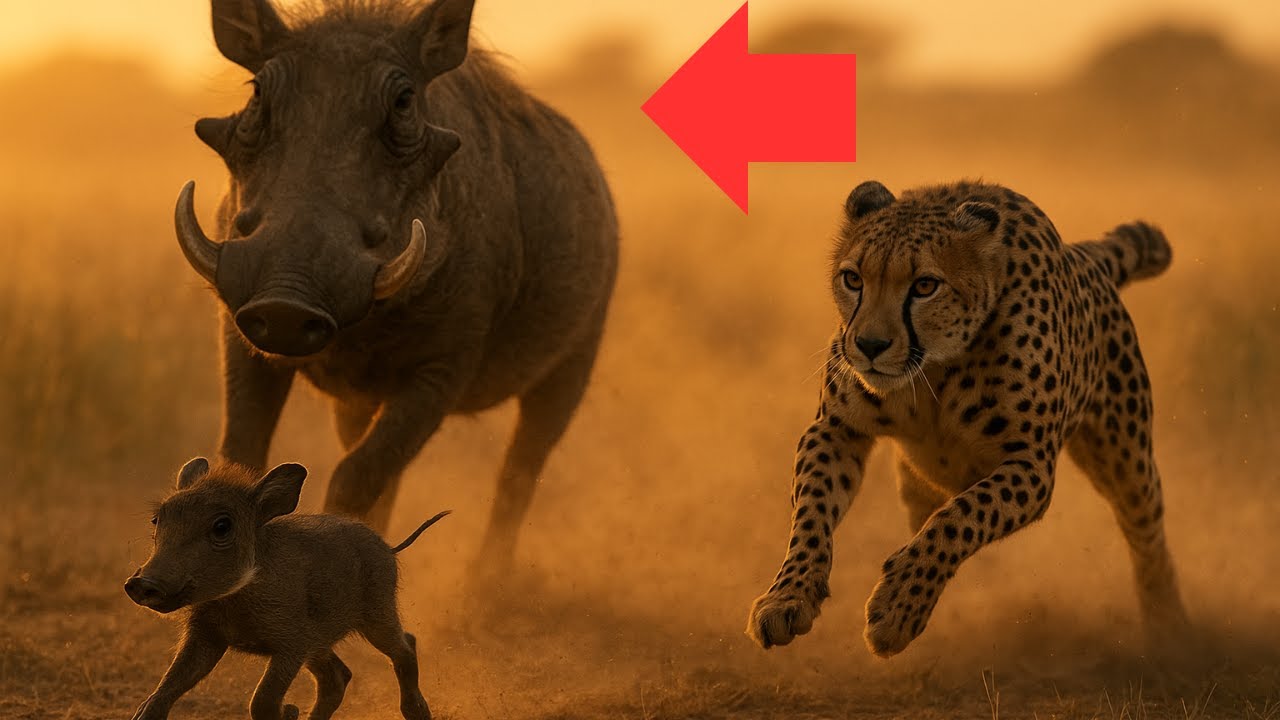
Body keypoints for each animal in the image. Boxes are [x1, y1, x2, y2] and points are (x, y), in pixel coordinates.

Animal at [745, 179, 1190, 658]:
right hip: (918, 478)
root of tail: (1082, 257)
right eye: (853, 279)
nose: (869, 345)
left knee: (1146, 533)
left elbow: (961, 518)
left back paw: (1170, 626)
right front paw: (787, 596)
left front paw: (899, 607)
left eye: (925, 286)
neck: (934, 371)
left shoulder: (1030, 465)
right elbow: (811, 513)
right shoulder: (834, 429)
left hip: (1126, 459)